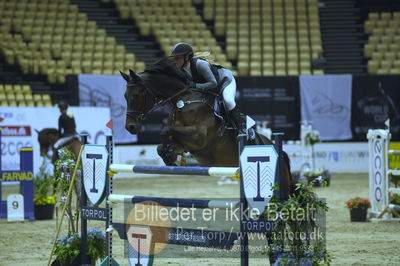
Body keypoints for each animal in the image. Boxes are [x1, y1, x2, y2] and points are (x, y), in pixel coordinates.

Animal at [121, 58, 294, 198]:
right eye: (125, 96)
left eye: (136, 96)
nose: (130, 127)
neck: (183, 100)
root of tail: (275, 147)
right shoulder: (183, 142)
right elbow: (162, 145)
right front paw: (173, 157)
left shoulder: (199, 136)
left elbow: (165, 131)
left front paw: (174, 158)